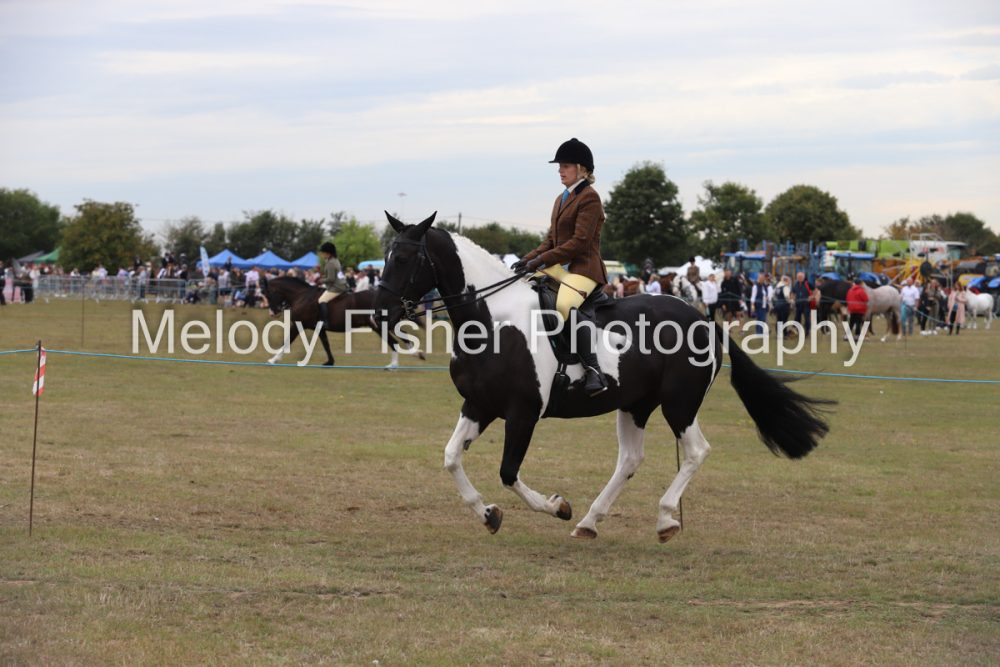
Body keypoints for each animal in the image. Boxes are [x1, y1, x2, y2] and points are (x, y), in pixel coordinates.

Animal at [262, 275, 423, 368]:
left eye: (268, 294)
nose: (272, 313)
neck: (302, 296)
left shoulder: (298, 325)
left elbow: (287, 341)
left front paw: (273, 359)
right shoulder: (319, 328)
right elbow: (326, 344)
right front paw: (330, 362)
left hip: (378, 326)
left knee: (394, 342)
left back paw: (394, 365)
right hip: (382, 325)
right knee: (402, 336)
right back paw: (416, 353)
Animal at [374, 212, 833, 543]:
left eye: (404, 259)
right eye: (386, 258)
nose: (380, 314)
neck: (493, 320)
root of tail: (703, 320)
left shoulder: (522, 412)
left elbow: (508, 472)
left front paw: (557, 506)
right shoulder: (479, 405)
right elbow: (451, 457)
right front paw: (488, 514)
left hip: (679, 403)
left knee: (696, 451)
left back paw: (664, 519)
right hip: (636, 404)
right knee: (630, 459)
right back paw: (591, 522)